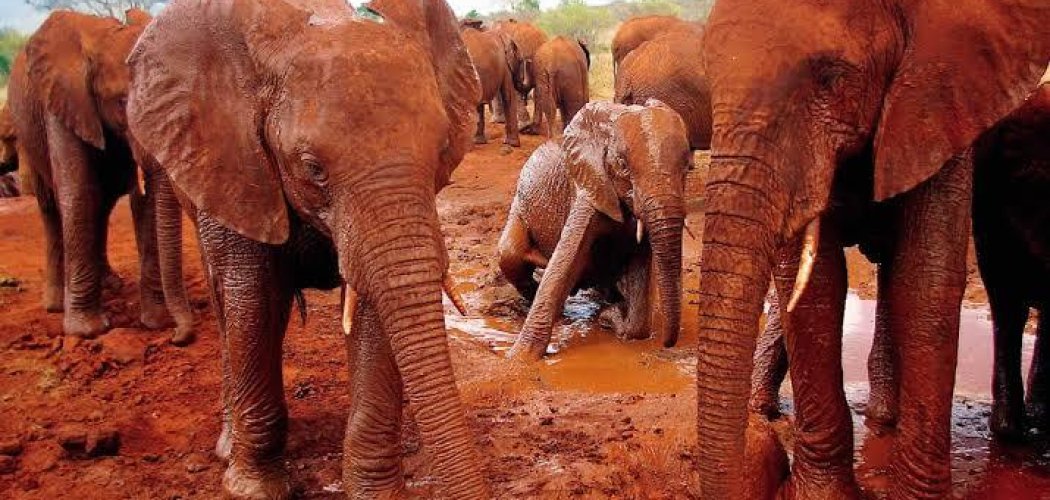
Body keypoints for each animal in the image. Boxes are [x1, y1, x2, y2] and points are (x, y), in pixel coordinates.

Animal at [6, 11, 195, 344]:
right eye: (121, 102)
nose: (177, 337)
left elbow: (146, 204)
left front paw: (156, 322)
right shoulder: (62, 102)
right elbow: (78, 192)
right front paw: (87, 331)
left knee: (103, 204)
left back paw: (109, 285)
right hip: (26, 134)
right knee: (53, 207)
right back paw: (56, 304)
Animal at [125, 0, 488, 497]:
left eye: (441, 151)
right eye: (313, 168)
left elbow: (371, 305)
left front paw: (374, 493)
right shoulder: (235, 160)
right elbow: (254, 300)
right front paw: (252, 489)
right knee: (229, 306)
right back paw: (227, 445)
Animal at [501, 100, 691, 361]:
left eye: (688, 168)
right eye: (623, 166)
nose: (668, 344)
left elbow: (640, 272)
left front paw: (609, 318)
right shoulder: (589, 187)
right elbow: (564, 262)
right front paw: (520, 358)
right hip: (519, 207)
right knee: (509, 255)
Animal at [694, 0, 1050, 498]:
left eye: (831, 78)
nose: (758, 452)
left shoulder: (939, 101)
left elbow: (924, 279)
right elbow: (815, 286)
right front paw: (820, 494)